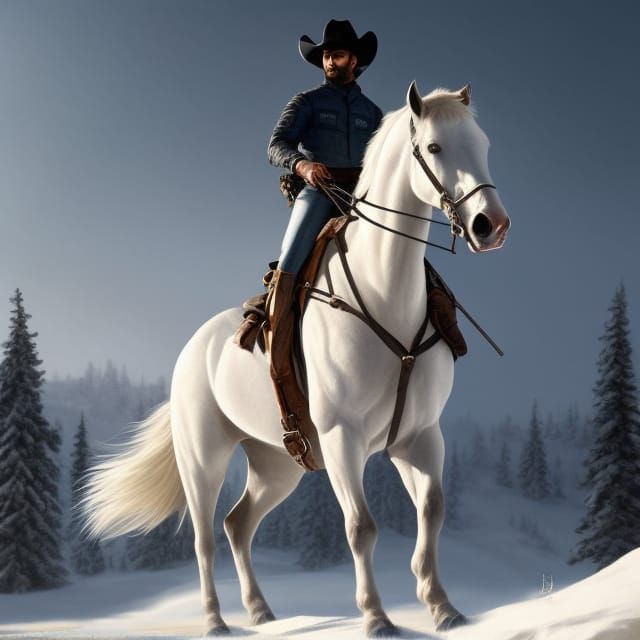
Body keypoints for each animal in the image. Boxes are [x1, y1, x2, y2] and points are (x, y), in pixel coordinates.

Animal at [83, 82, 510, 637]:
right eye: (434, 148)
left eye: (483, 145)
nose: (491, 225)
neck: (385, 294)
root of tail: (193, 348)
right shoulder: (343, 437)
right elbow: (361, 526)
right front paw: (376, 617)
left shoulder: (418, 436)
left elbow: (432, 511)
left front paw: (442, 607)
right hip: (203, 459)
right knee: (203, 537)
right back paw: (216, 620)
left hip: (277, 463)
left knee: (237, 524)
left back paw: (262, 612)